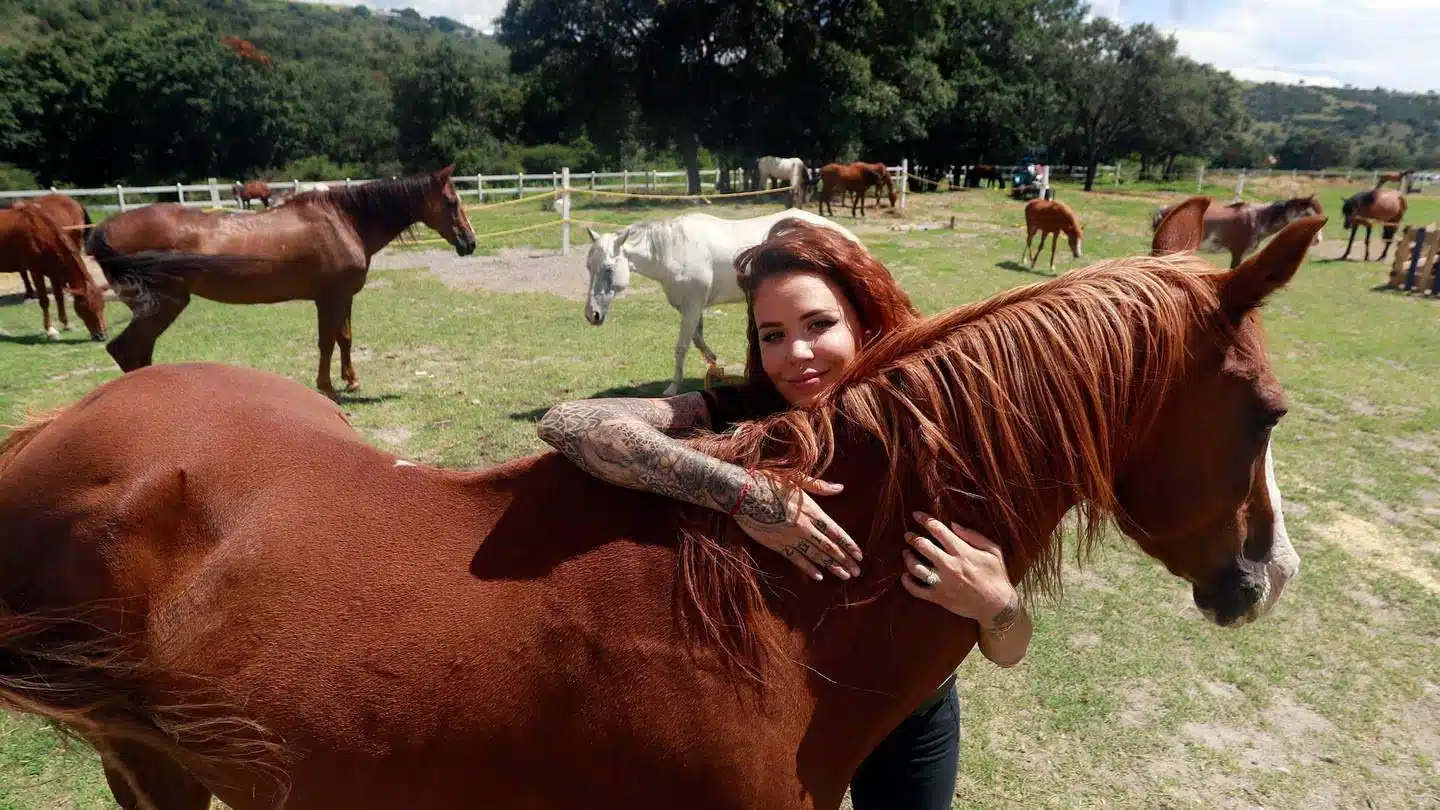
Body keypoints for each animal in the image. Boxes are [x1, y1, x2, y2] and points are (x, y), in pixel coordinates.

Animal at [0, 204, 107, 340]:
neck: (40, 230)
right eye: (86, 308)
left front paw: (66, 324)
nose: (102, 336)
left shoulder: (55, 272)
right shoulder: (36, 271)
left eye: (103, 306)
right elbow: (44, 301)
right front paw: (50, 330)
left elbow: (59, 298)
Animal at [90, 162, 478, 394]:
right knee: (125, 349)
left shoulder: (344, 297)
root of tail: (103, 231)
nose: (470, 242)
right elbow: (327, 342)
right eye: (451, 202)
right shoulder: (329, 299)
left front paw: (351, 381)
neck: (343, 220)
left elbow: (345, 339)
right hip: (163, 306)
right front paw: (327, 387)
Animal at [581, 207, 852, 394]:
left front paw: (672, 387)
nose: (592, 315)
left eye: (608, 269)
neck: (672, 250)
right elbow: (697, 339)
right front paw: (714, 364)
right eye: (588, 267)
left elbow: (682, 347)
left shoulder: (691, 306)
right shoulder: (693, 307)